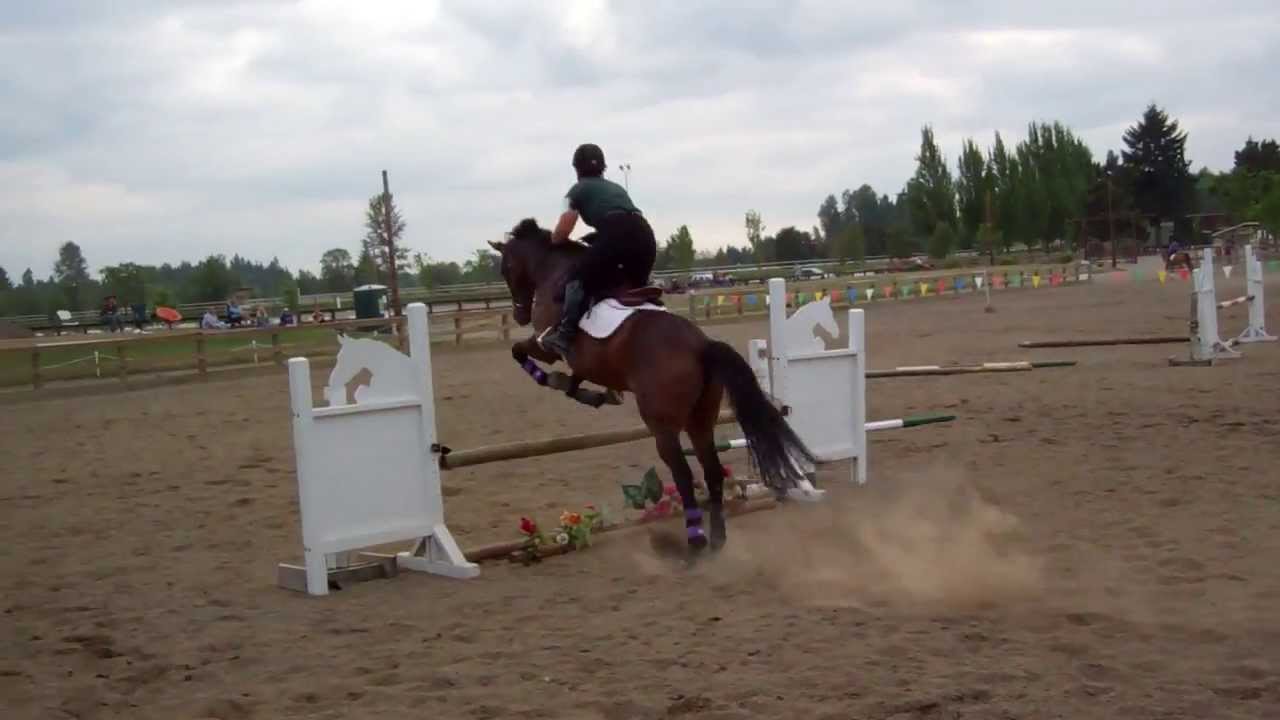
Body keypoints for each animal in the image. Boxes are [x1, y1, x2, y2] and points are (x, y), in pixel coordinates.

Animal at [488, 218, 816, 555]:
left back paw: (695, 542)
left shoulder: (546, 346)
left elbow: (520, 352)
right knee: (711, 470)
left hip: (662, 425)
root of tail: (702, 345)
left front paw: (555, 380)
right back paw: (717, 538)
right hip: (700, 420)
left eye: (505, 268)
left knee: (683, 474)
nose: (519, 314)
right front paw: (595, 393)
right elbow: (576, 377)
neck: (554, 271)